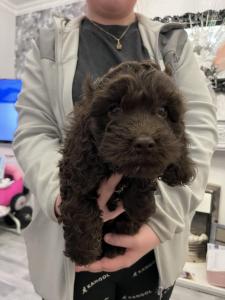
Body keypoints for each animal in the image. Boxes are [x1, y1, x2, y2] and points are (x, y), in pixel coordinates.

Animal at [58, 60, 195, 264]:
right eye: (114, 110)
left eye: (162, 111)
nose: (144, 143)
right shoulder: (76, 173)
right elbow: (80, 208)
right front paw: (83, 252)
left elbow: (141, 181)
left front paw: (139, 206)